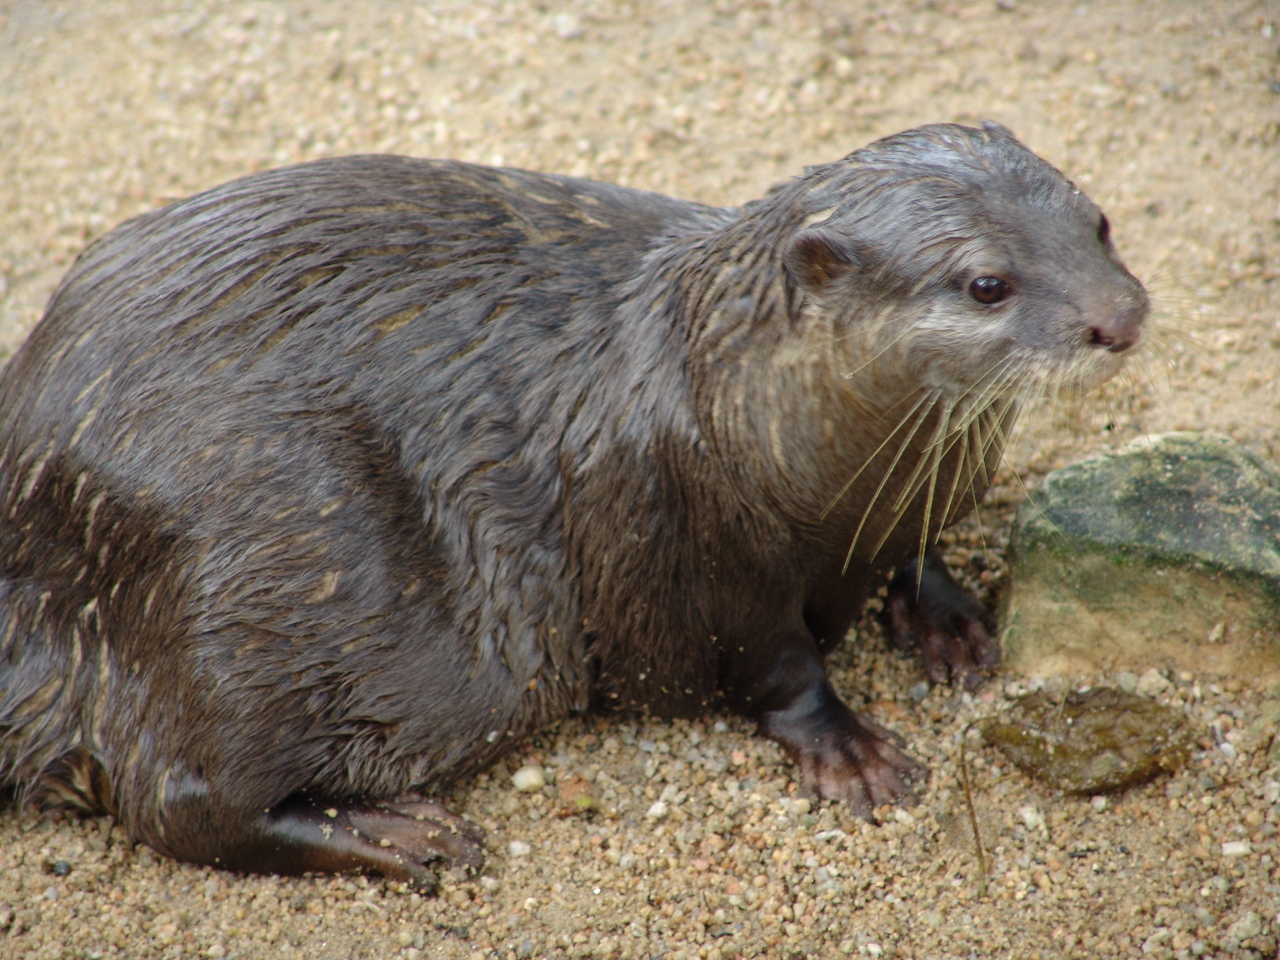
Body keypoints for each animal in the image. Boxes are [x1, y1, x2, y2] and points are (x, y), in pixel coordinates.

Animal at [0, 122, 1147, 886]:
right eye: (986, 284)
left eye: (1098, 222)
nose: (1119, 317)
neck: (753, 420)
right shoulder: (690, 539)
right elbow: (774, 663)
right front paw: (850, 749)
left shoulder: (907, 502)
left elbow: (919, 551)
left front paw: (950, 620)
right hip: (250, 572)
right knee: (177, 798)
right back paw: (400, 835)